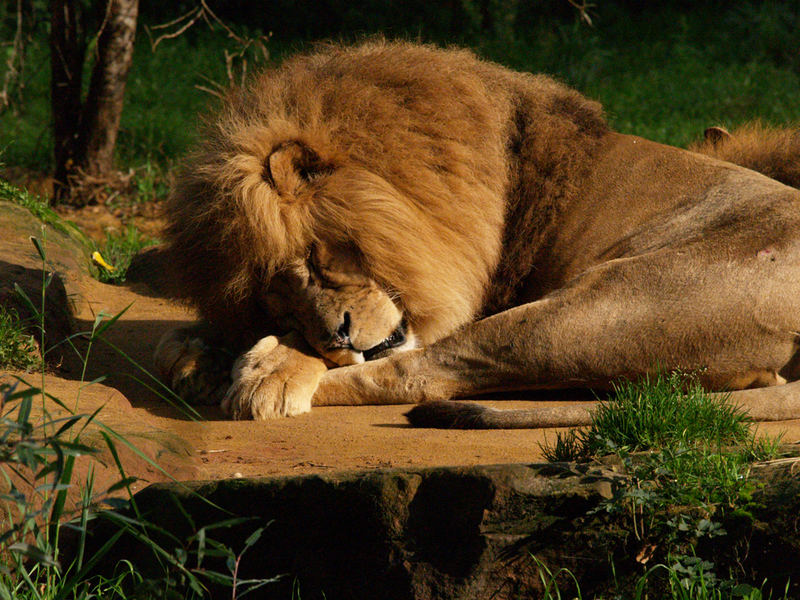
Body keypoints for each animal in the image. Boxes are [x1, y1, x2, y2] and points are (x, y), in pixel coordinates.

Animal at [155, 39, 800, 426]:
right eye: (277, 302)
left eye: (316, 259)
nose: (336, 336)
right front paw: (200, 349)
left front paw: (249, 363)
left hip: (592, 312)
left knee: (416, 377)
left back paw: (258, 380)